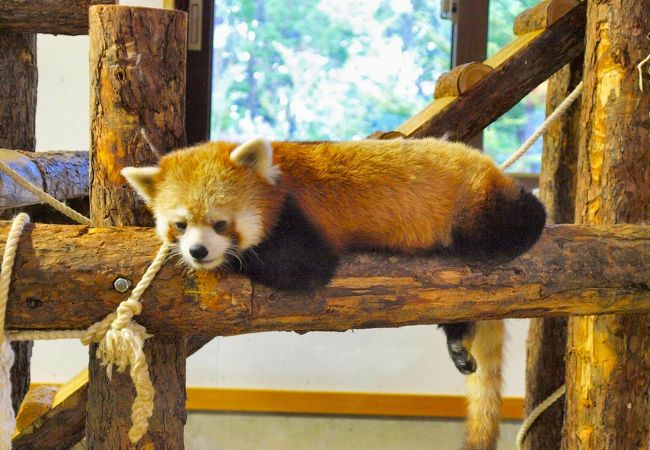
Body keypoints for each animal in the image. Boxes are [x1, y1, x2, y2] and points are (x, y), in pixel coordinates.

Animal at [120, 137, 540, 450]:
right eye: (180, 224)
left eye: (220, 224)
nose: (198, 251)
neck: (275, 180)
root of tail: (486, 162)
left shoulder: (300, 216)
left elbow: (306, 266)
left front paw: (236, 258)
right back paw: (456, 338)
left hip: (477, 203)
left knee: (521, 218)